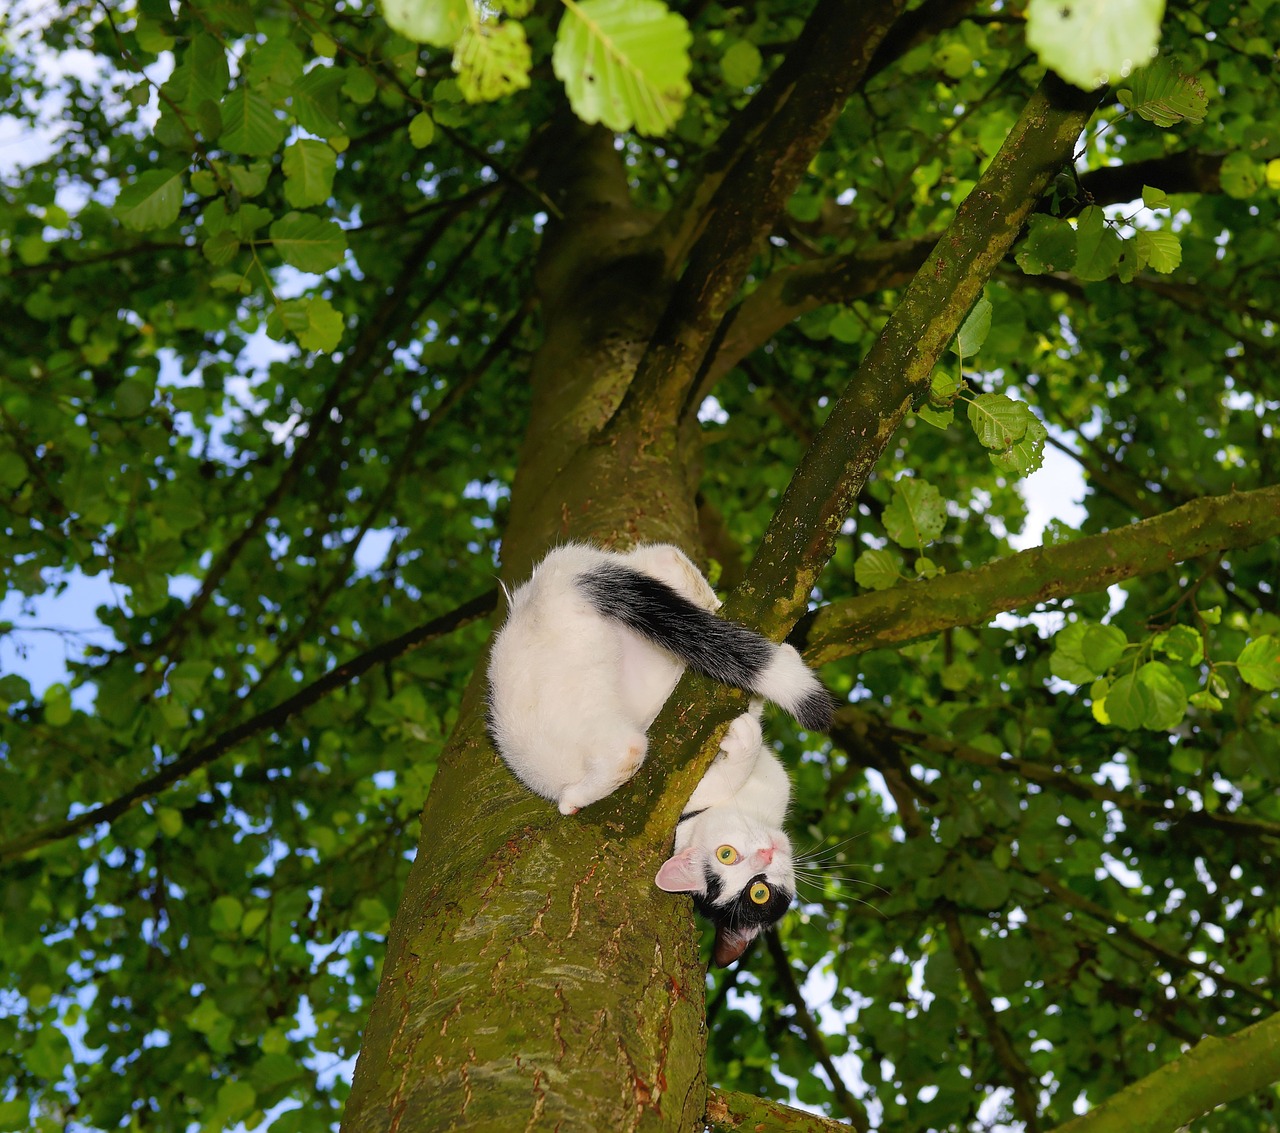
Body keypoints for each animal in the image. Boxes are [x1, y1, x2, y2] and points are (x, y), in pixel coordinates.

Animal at [483, 542, 834, 962]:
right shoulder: (686, 800)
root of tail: (553, 587)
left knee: (672, 561)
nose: (766, 854)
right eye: (726, 856)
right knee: (629, 751)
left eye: (760, 892)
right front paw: (742, 739)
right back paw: (575, 799)